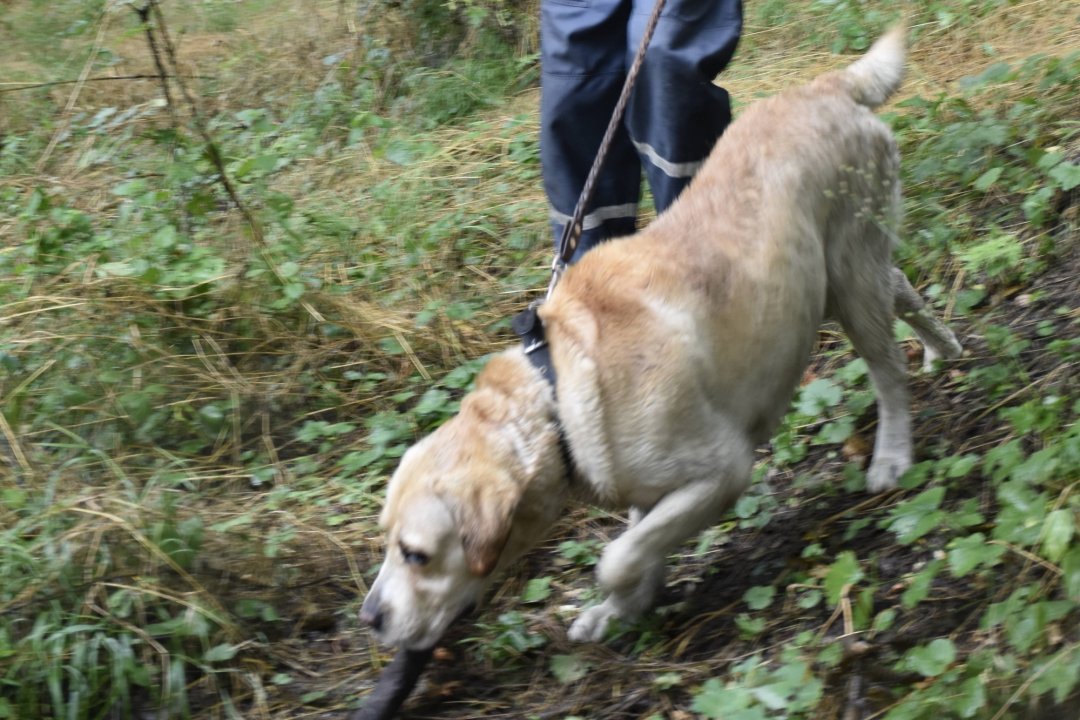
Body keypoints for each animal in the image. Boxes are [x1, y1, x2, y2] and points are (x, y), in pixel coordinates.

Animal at [360, 26, 963, 647]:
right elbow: (639, 543)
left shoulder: (721, 471)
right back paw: (943, 347)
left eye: (416, 554)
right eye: (385, 542)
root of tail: (825, 87)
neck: (555, 392)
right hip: (852, 276)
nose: (369, 617)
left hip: (850, 277)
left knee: (888, 370)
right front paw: (621, 611)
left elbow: (618, 557)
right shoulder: (645, 487)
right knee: (901, 289)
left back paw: (892, 455)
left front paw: (619, 596)